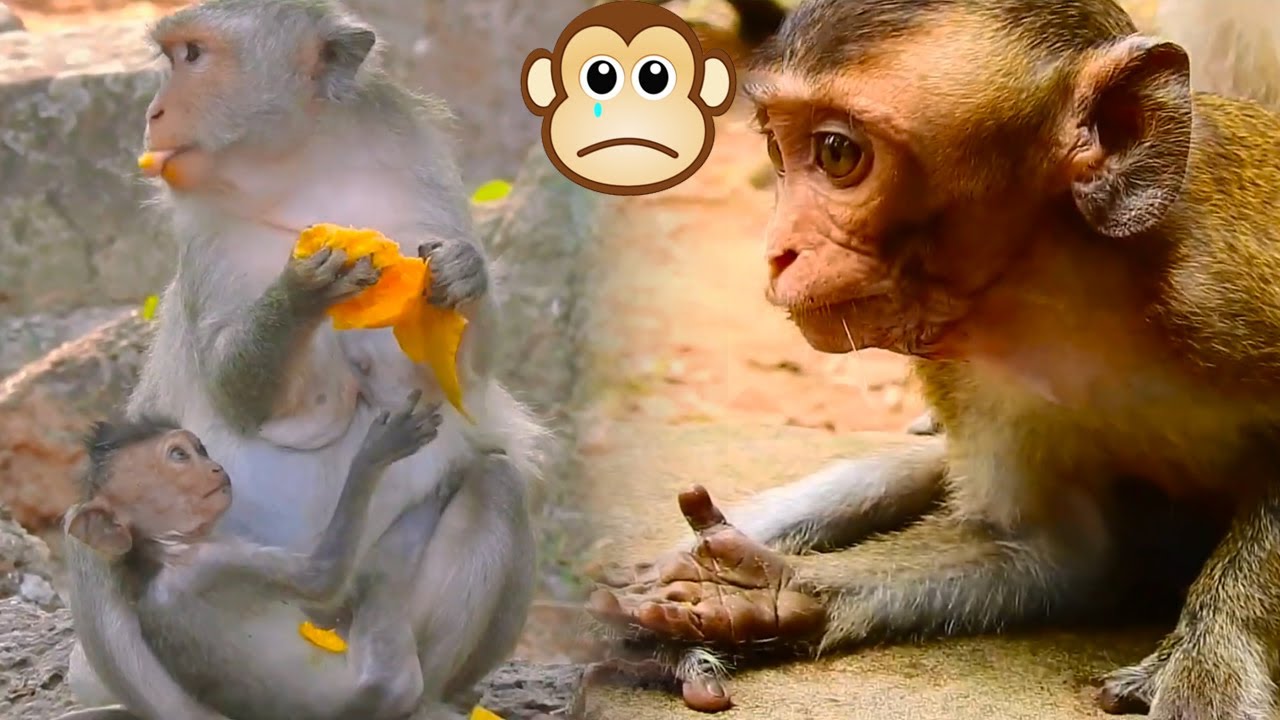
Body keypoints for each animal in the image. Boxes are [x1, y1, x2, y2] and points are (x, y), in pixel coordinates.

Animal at [60, 391, 449, 720]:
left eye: (200, 450)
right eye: (179, 455)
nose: (215, 467)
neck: (163, 552)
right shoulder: (215, 563)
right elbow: (323, 577)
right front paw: (375, 453)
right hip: (385, 682)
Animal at [587, 1, 1280, 719]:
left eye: (837, 153)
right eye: (778, 151)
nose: (778, 252)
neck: (1064, 299)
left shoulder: (1230, 288)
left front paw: (1212, 655)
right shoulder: (962, 371)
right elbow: (1054, 549)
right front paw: (774, 591)